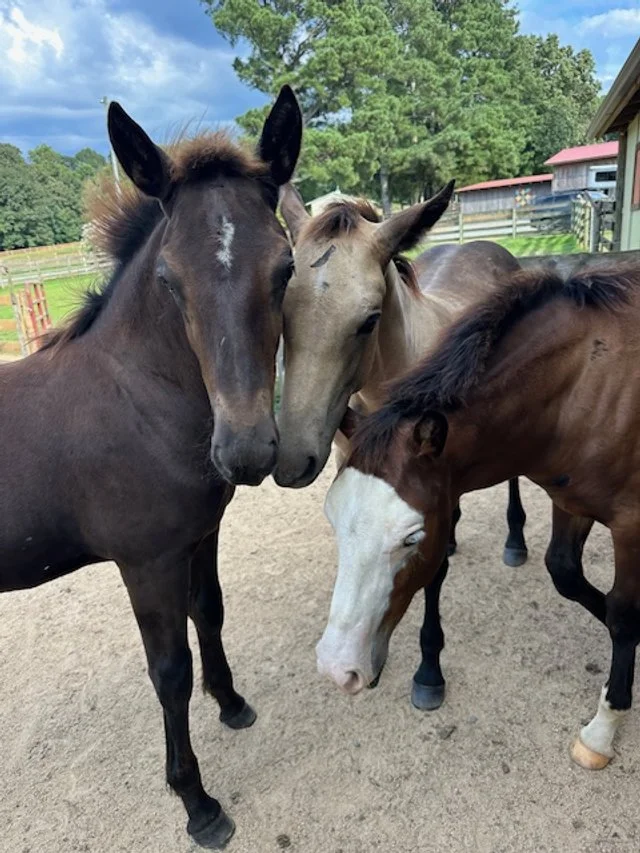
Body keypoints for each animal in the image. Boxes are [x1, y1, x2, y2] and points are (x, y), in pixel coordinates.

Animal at [0, 88, 302, 849]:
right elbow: (169, 672)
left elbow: (210, 613)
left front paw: (231, 701)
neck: (136, 396)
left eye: (285, 268)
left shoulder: (197, 538)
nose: (246, 451)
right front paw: (197, 803)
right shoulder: (145, 561)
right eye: (169, 280)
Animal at [316, 264, 640, 772]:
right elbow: (566, 573)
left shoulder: (630, 524)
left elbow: (623, 616)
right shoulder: (570, 502)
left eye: (412, 538)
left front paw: (603, 729)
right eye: (334, 522)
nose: (336, 668)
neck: (588, 384)